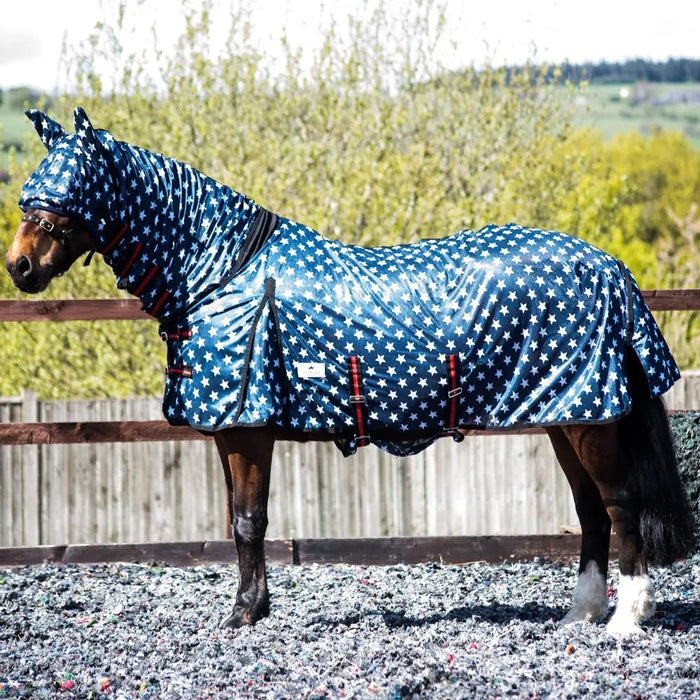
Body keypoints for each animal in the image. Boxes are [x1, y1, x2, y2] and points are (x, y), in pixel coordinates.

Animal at [6, 107, 694, 637]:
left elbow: (249, 521)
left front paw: (242, 616)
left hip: (590, 422)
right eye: (29, 194)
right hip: (567, 415)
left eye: (65, 194)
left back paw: (625, 621)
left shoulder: (248, 432)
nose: (19, 267)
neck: (222, 271)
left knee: (621, 506)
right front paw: (252, 609)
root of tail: (609, 267)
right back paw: (579, 614)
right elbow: (239, 523)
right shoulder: (232, 435)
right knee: (591, 511)